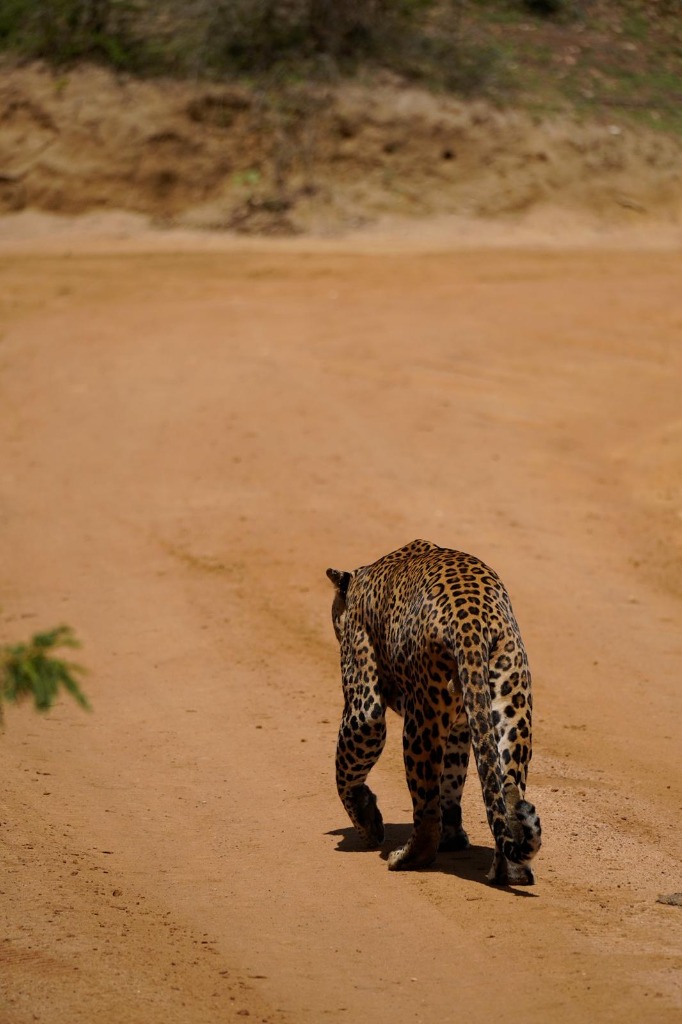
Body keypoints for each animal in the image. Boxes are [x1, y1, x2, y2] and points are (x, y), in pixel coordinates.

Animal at [327, 539, 541, 885]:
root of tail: (470, 620)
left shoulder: (364, 706)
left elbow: (346, 773)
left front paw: (368, 823)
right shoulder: (461, 727)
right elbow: (452, 783)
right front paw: (453, 837)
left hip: (421, 718)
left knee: (425, 808)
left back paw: (405, 858)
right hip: (511, 701)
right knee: (508, 790)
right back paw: (511, 872)